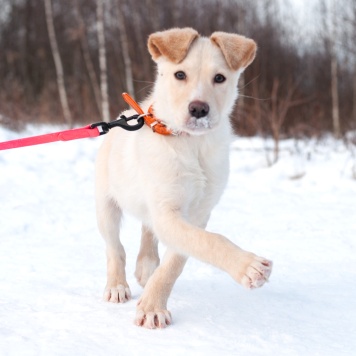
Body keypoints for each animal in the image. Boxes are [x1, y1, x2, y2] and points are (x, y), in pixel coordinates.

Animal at [95, 27, 272, 328]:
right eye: (180, 75)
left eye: (219, 78)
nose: (199, 109)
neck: (192, 144)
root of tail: (124, 115)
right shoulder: (167, 210)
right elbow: (211, 240)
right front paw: (248, 266)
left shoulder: (198, 213)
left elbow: (177, 260)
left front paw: (153, 303)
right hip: (105, 206)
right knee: (114, 247)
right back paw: (117, 285)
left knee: (147, 229)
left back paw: (146, 267)